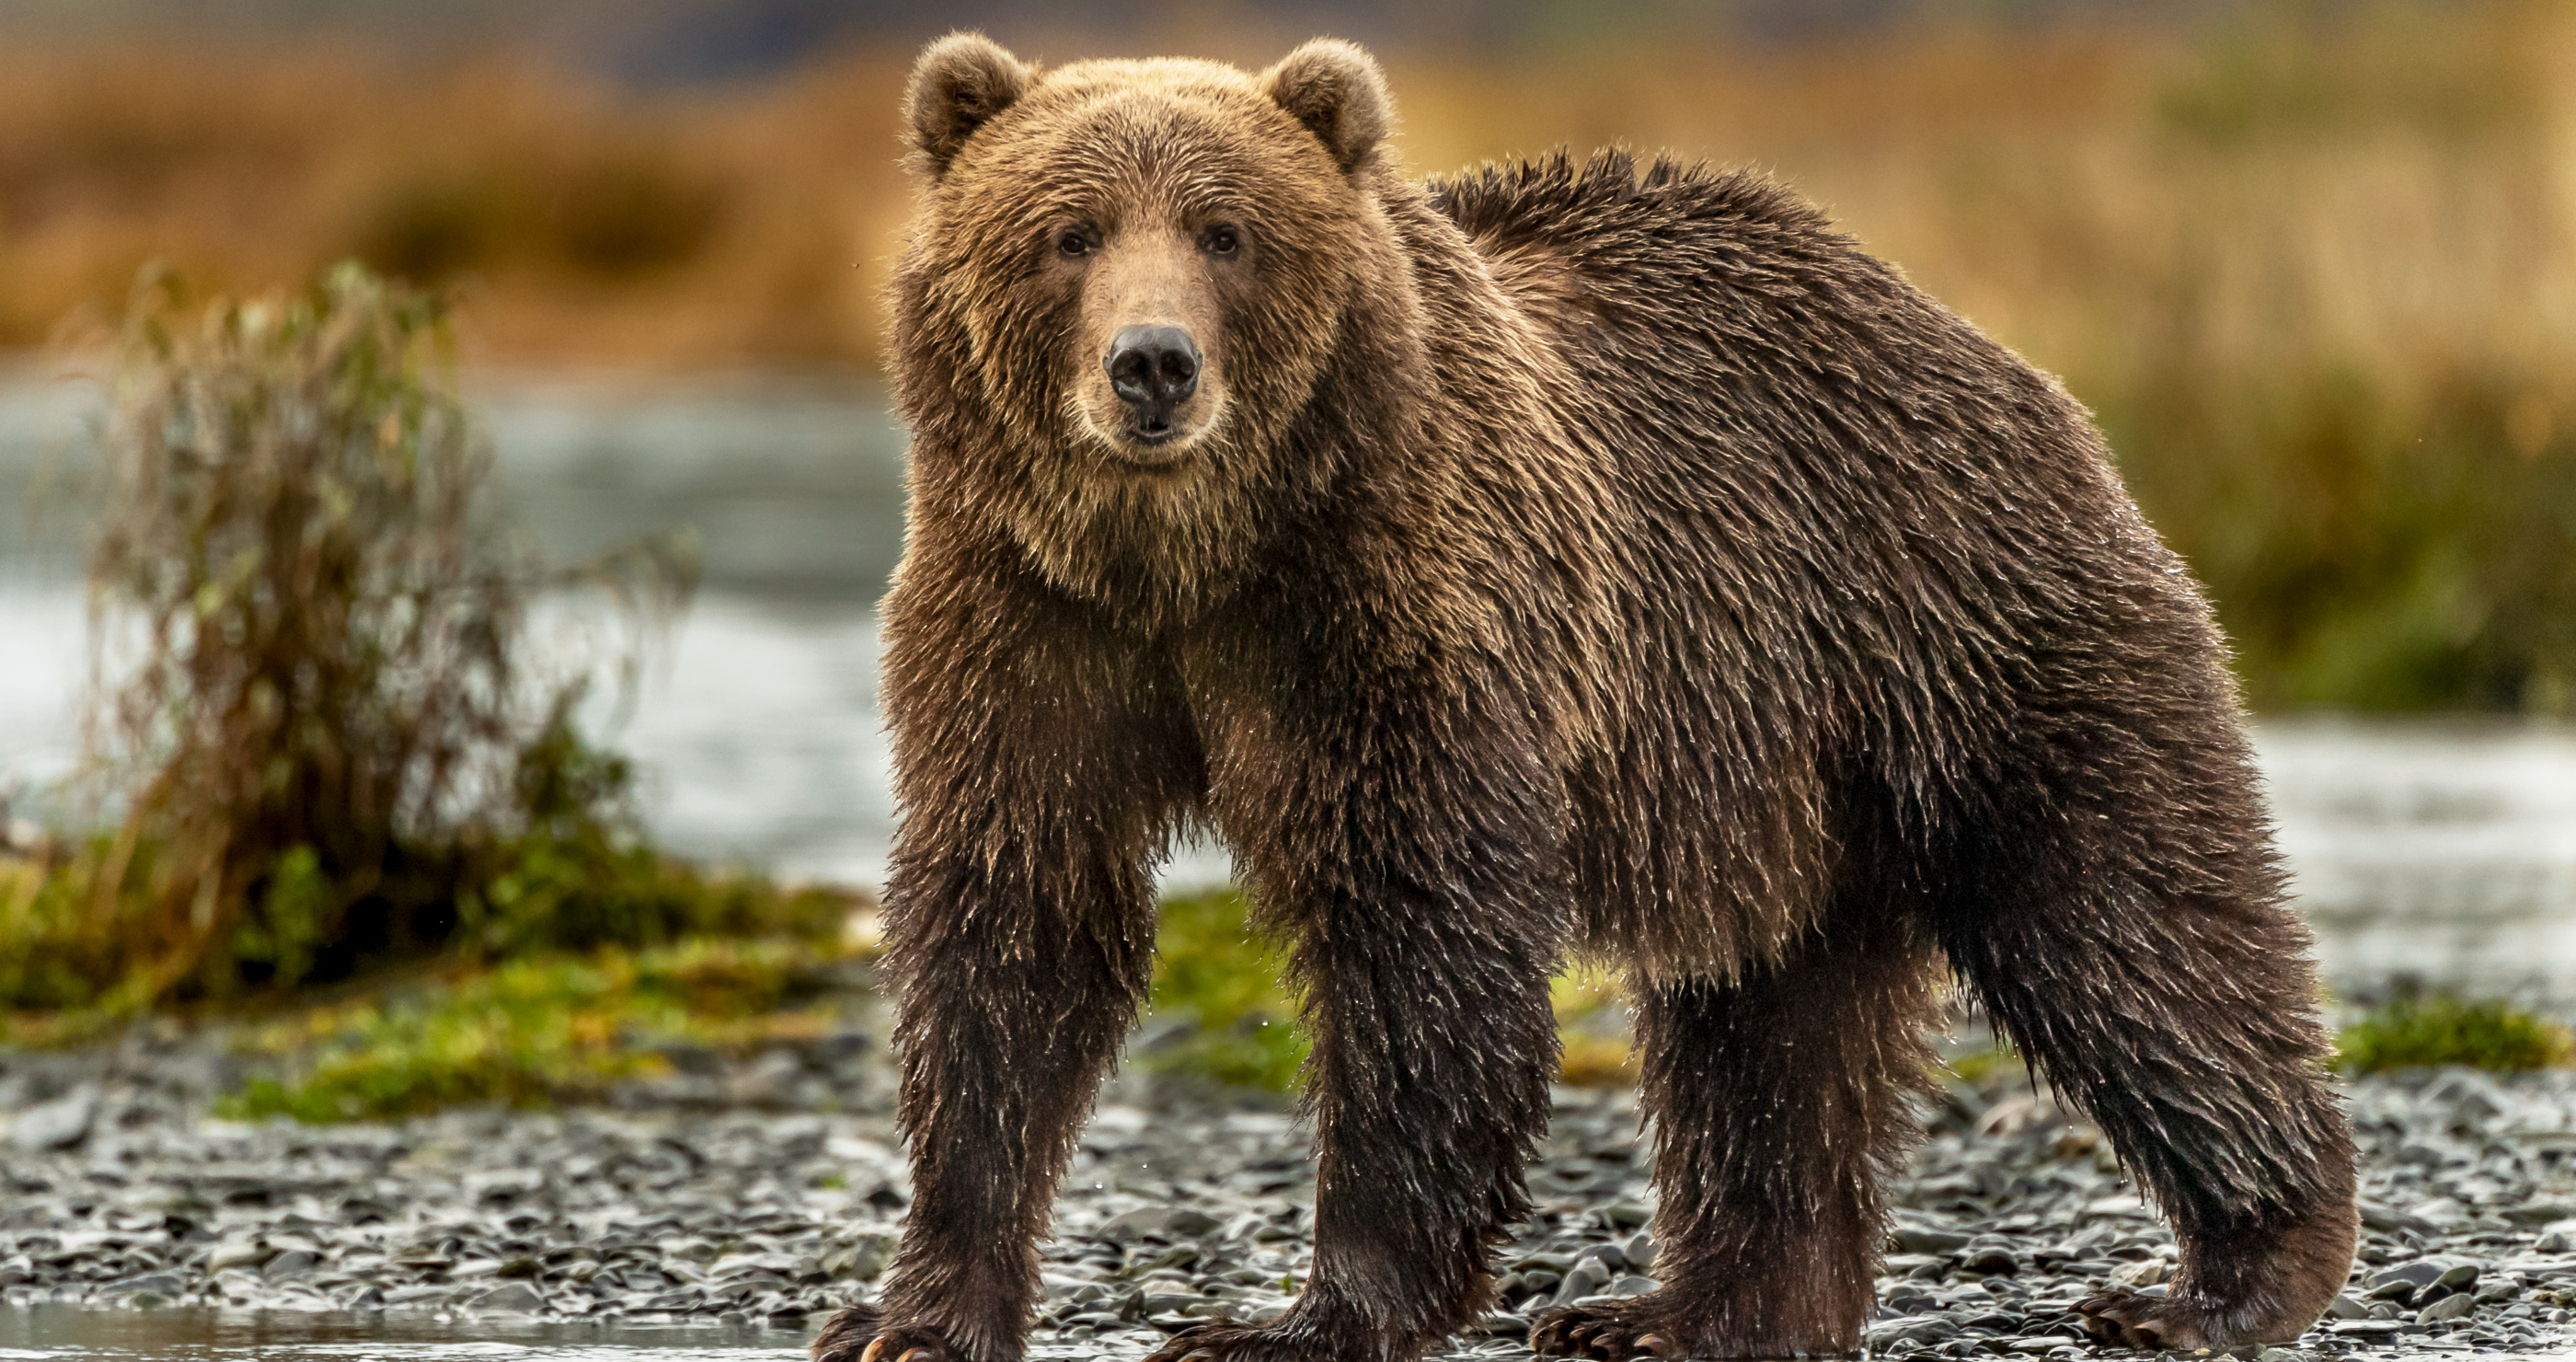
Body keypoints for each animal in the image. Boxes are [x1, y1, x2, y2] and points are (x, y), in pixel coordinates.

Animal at [813, 29, 2359, 1359]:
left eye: (1226, 233)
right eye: (1068, 232)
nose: (1153, 366)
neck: (1190, 562)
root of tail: (1984, 348)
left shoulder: (1394, 614)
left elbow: (1417, 931)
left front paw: (1300, 1318)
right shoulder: (1025, 618)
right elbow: (1017, 923)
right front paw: (911, 1312)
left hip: (1959, 624)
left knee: (2121, 921)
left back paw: (2221, 1275)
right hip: (1780, 772)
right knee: (1765, 1022)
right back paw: (1687, 1308)